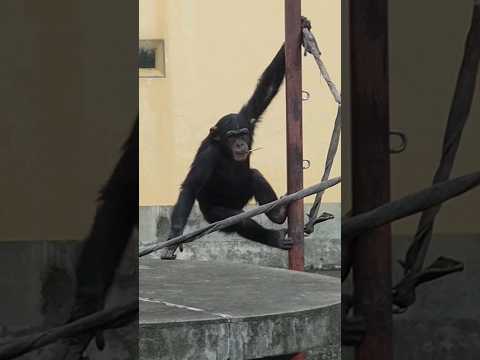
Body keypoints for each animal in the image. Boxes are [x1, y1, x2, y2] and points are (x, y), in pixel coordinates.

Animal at [161, 17, 312, 258]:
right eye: (231, 136)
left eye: (242, 134)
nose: (240, 143)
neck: (224, 149)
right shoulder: (207, 155)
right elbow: (190, 187)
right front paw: (174, 235)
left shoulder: (249, 117)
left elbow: (267, 88)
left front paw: (301, 25)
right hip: (213, 213)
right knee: (238, 220)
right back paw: (274, 236)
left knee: (255, 175)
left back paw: (278, 213)